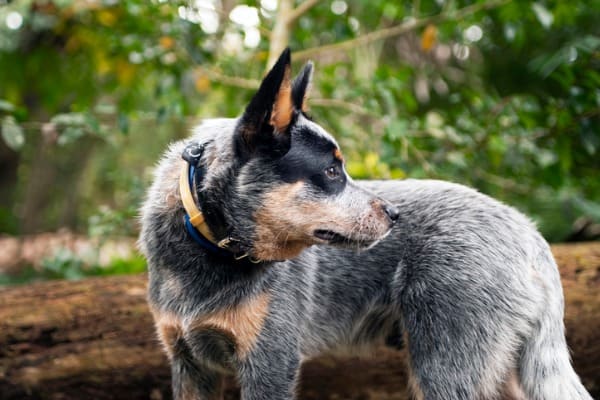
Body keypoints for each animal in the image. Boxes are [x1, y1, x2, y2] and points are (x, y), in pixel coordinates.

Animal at [137, 48, 592, 398]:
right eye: (332, 171)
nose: (394, 214)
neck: (207, 250)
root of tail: (528, 233)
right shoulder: (189, 363)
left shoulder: (269, 363)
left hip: (446, 364)